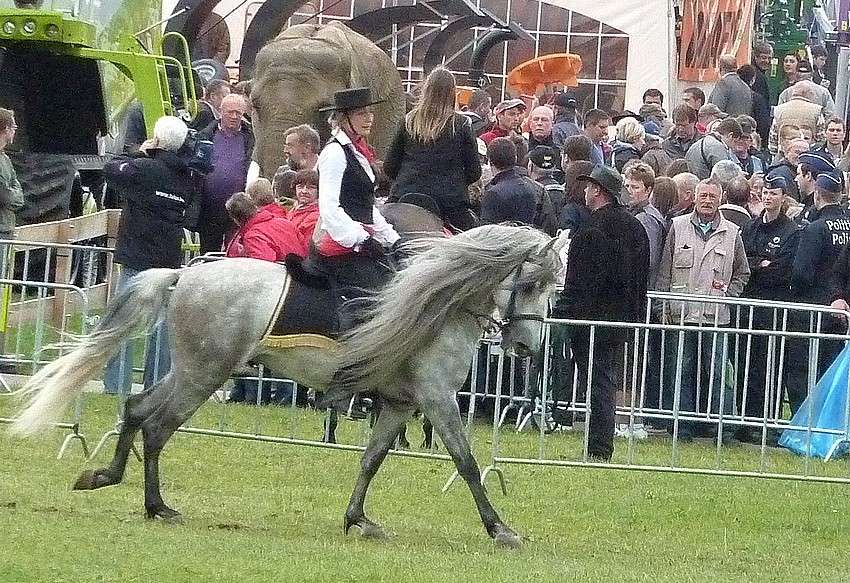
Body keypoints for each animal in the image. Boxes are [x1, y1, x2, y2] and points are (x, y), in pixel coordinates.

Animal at [11, 226, 564, 548]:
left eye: (553, 290)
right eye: (532, 284)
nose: (528, 348)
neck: (442, 304)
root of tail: (184, 275)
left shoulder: (400, 404)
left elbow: (371, 460)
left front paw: (358, 519)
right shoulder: (436, 399)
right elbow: (467, 463)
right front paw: (500, 529)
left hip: (191, 368)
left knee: (137, 407)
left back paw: (107, 477)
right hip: (205, 372)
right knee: (158, 424)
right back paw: (157, 506)